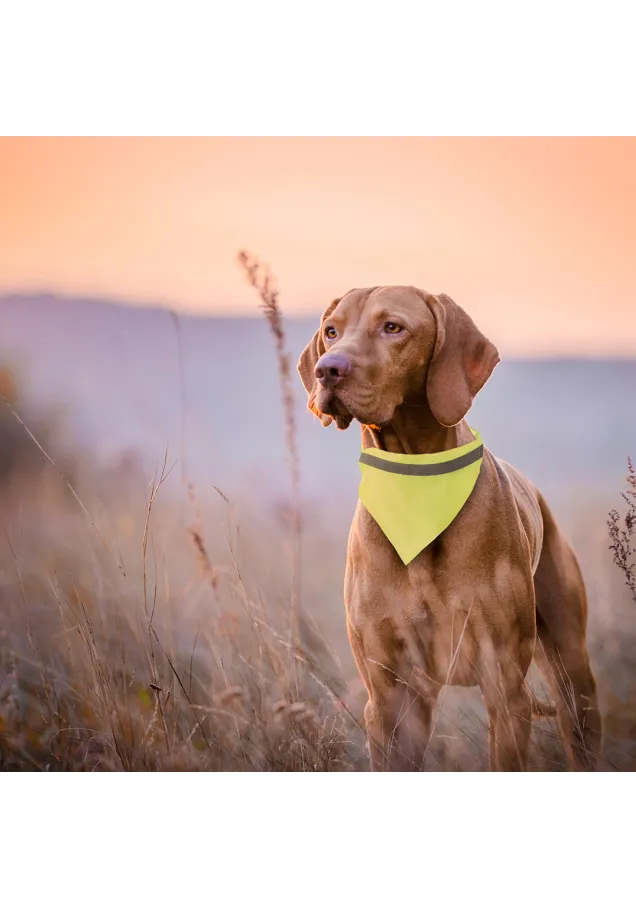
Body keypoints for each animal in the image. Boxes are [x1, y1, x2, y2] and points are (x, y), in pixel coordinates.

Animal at [298, 288, 600, 768]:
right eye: (331, 331)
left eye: (393, 327)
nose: (327, 370)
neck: (415, 488)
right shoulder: (391, 698)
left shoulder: (504, 687)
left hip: (573, 672)